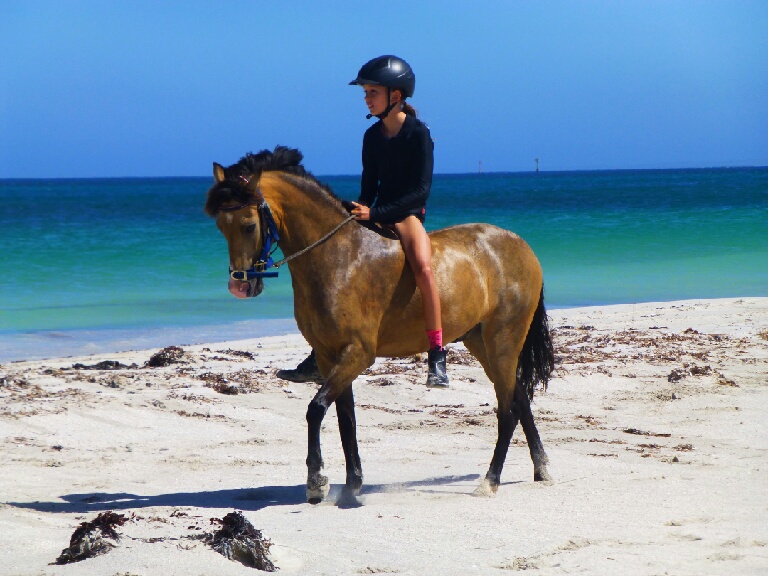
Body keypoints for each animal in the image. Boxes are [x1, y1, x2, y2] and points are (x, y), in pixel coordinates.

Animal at [204, 146, 552, 502]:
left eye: (248, 225)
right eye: (220, 226)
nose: (238, 286)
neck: (338, 257)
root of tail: (521, 245)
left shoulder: (358, 353)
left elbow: (316, 409)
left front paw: (317, 481)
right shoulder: (330, 356)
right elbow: (346, 419)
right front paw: (352, 484)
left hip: (503, 340)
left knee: (507, 409)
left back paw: (490, 480)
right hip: (480, 341)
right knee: (519, 397)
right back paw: (541, 468)